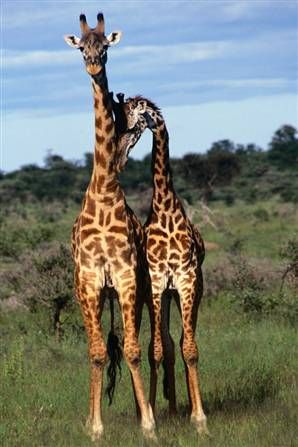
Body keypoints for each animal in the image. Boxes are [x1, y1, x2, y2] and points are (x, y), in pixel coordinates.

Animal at [114, 96, 210, 436]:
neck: (166, 209)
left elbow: (190, 349)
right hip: (162, 294)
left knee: (181, 342)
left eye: (133, 122)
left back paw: (185, 407)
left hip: (187, 290)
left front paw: (199, 419)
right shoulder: (157, 283)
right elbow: (156, 348)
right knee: (167, 344)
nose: (118, 158)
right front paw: (153, 411)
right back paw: (169, 408)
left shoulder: (186, 279)